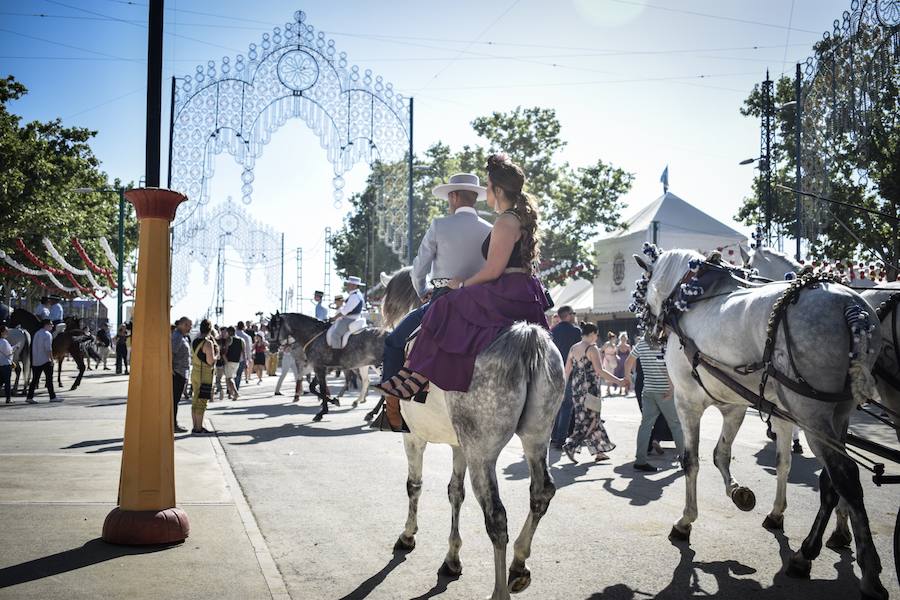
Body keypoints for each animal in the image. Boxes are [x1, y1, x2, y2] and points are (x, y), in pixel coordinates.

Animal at [378, 268, 564, 600]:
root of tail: (525, 336)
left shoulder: (414, 437)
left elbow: (414, 485)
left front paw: (408, 535)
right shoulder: (459, 445)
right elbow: (455, 492)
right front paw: (452, 559)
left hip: (483, 453)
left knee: (496, 516)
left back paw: (500, 590)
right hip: (536, 439)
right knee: (541, 492)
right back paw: (519, 565)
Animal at [636, 247, 888, 600]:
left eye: (644, 285)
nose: (647, 331)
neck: (692, 294)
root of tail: (850, 305)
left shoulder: (687, 401)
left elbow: (691, 461)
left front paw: (686, 521)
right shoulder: (736, 407)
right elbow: (727, 456)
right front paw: (743, 495)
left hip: (811, 413)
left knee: (845, 475)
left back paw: (858, 570)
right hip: (839, 413)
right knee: (833, 479)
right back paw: (822, 546)